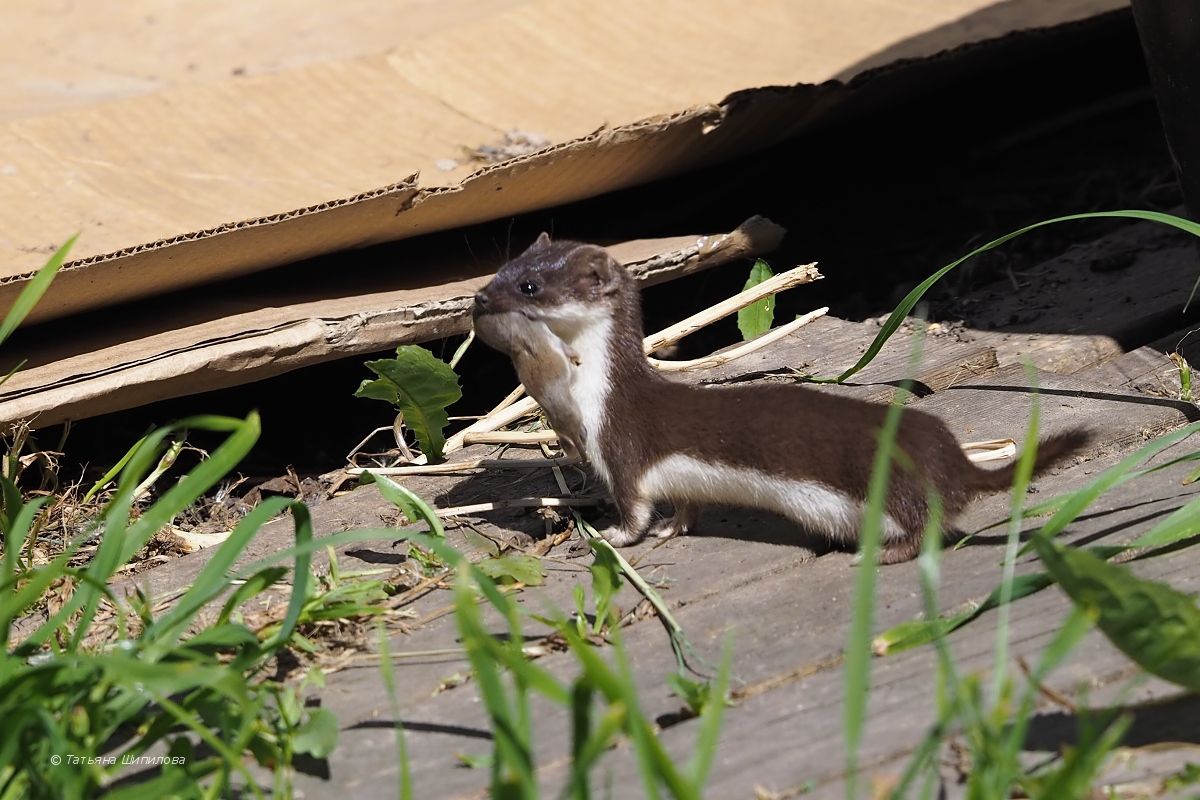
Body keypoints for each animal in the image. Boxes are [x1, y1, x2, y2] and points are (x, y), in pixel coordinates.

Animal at [468, 236, 1089, 563]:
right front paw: (674, 527)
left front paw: (609, 537)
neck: (593, 398)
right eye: (499, 270)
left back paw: (880, 552)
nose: (478, 300)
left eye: (528, 286)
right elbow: (683, 505)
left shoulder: (622, 448)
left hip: (888, 488)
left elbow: (634, 509)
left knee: (924, 527)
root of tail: (955, 460)